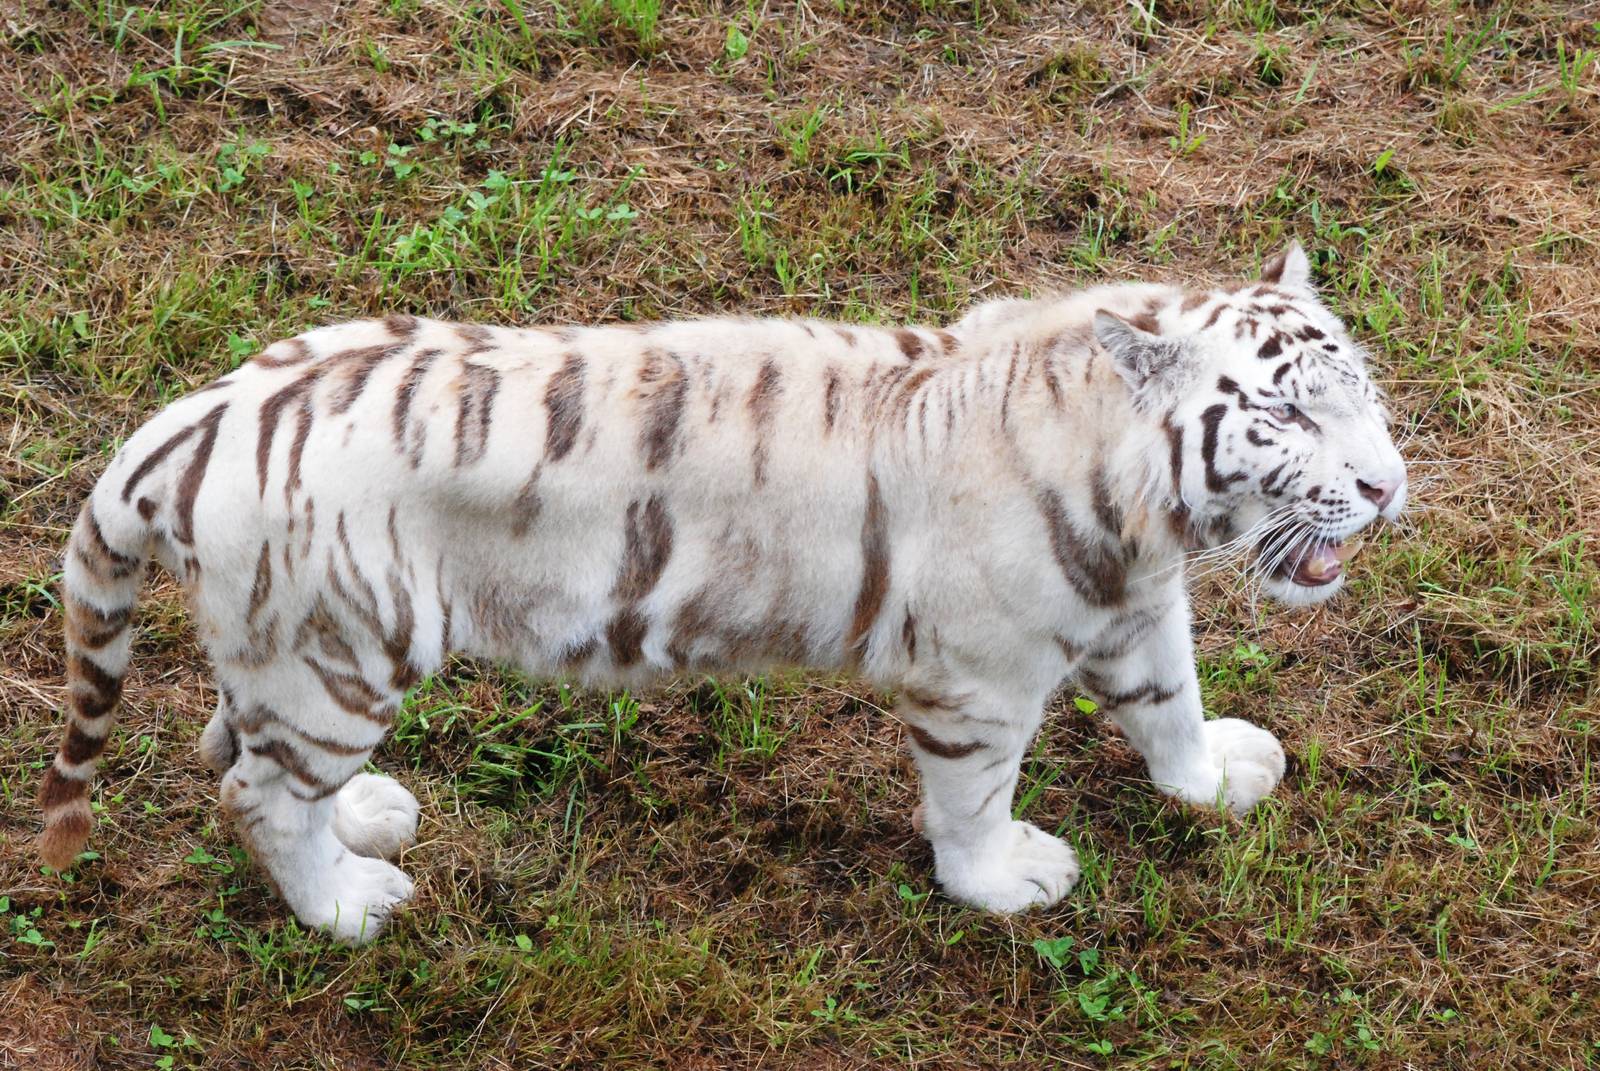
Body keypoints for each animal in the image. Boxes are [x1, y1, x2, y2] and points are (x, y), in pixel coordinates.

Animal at [39, 242, 1406, 943]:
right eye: (1284, 414)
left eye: (1359, 390)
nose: (1388, 487)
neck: (1144, 510)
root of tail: (204, 411)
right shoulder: (978, 679)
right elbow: (973, 803)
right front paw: (1001, 886)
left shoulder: (1132, 604)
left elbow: (1170, 703)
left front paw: (1216, 779)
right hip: (342, 656)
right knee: (258, 793)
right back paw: (347, 906)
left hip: (289, 653)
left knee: (233, 747)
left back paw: (369, 820)